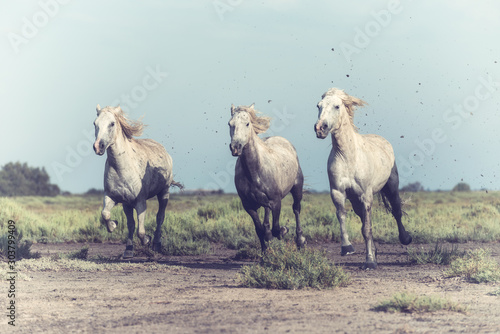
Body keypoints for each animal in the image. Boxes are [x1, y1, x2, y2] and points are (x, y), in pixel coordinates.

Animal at [93, 105, 181, 258]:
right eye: (95, 123)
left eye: (112, 124)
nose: (98, 146)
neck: (122, 167)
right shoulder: (114, 198)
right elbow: (107, 215)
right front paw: (115, 227)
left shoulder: (140, 202)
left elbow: (141, 231)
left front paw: (147, 240)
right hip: (128, 204)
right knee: (132, 222)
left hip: (164, 193)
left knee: (160, 217)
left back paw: (156, 244)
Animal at [228, 104, 304, 250]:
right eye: (230, 124)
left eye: (247, 124)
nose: (235, 147)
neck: (254, 171)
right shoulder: (248, 205)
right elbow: (259, 230)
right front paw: (265, 251)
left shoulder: (276, 201)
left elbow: (276, 227)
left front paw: (283, 231)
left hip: (297, 188)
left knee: (296, 210)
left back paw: (300, 240)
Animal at [314, 88, 412, 268]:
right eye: (318, 105)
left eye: (337, 106)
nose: (320, 128)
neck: (348, 157)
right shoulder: (338, 193)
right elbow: (342, 217)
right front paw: (347, 248)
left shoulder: (366, 196)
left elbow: (367, 229)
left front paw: (370, 262)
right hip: (355, 200)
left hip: (391, 187)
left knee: (396, 211)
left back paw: (405, 239)